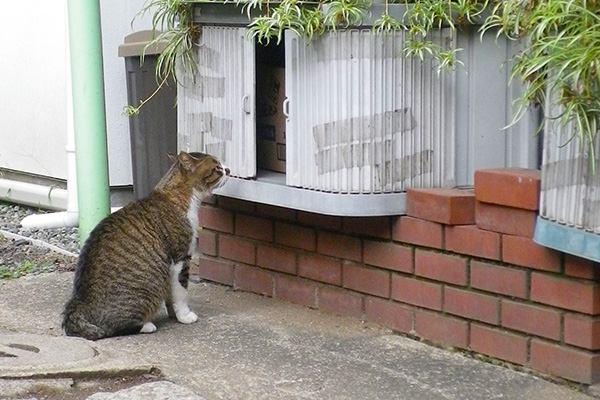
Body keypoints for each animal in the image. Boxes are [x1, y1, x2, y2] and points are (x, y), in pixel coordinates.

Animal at [61, 152, 230, 340]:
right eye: (217, 167)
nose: (229, 170)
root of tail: (79, 304)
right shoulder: (180, 258)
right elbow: (181, 291)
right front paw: (184, 315)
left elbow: (171, 295)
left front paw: (173, 314)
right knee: (116, 328)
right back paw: (147, 325)